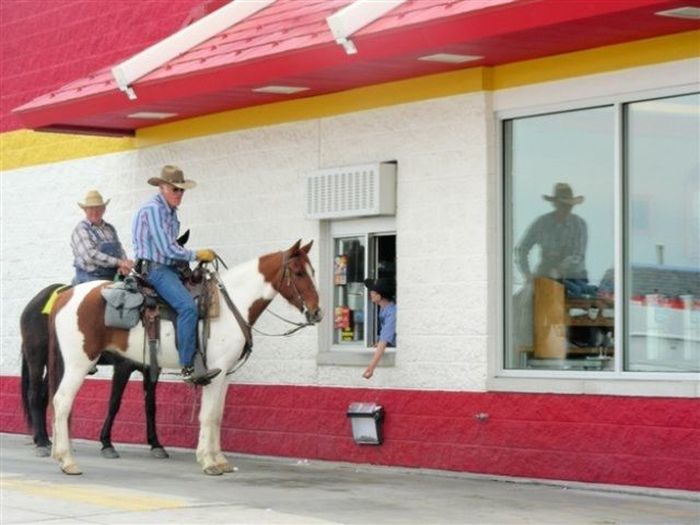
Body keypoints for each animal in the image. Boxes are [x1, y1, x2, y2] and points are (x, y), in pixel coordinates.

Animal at [50, 241, 322, 474]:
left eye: (313, 271)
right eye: (299, 273)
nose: (317, 313)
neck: (230, 305)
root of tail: (65, 295)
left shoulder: (225, 375)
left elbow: (217, 415)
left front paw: (220, 460)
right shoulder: (215, 372)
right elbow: (208, 415)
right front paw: (208, 462)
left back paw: (59, 455)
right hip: (79, 363)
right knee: (62, 402)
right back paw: (68, 461)